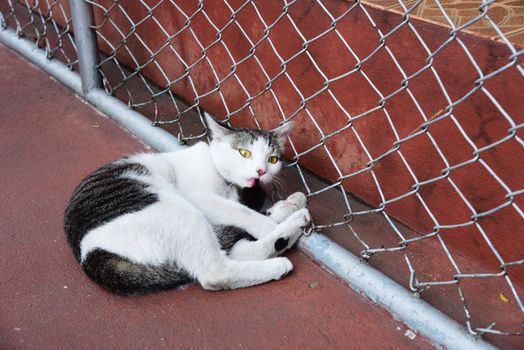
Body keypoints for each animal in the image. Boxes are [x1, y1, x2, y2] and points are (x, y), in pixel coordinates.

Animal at [65, 115, 312, 296]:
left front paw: (287, 205)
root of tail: (90, 255)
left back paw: (293, 216)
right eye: (244, 153)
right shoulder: (198, 196)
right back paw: (284, 249)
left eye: (272, 160)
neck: (229, 185)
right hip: (180, 211)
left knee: (237, 250)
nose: (261, 171)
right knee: (216, 272)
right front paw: (269, 223)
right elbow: (242, 211)